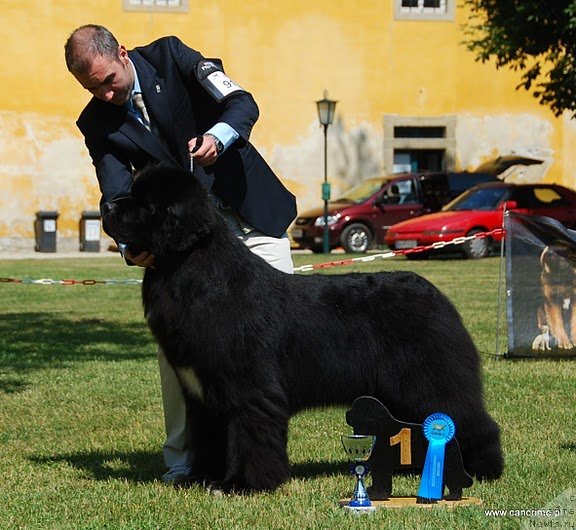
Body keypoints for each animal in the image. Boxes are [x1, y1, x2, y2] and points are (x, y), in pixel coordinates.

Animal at [101, 164, 502, 490]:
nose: (107, 207)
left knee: (469, 419)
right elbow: (208, 438)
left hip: (430, 381)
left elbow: (249, 436)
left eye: (145, 203)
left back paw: (482, 470)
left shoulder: (249, 388)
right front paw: (202, 478)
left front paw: (243, 485)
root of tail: (438, 296)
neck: (193, 272)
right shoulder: (203, 395)